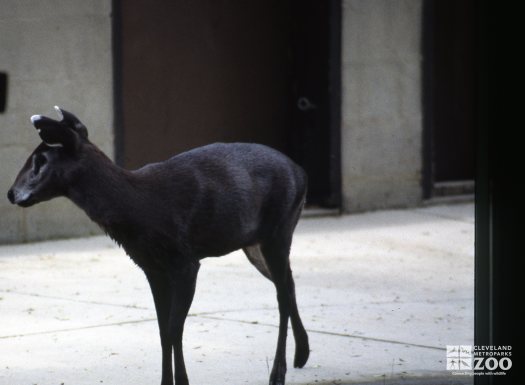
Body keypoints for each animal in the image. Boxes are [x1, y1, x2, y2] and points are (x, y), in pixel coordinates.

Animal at [7, 106, 308, 384]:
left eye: (40, 160)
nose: (11, 193)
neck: (139, 207)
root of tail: (301, 173)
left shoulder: (186, 262)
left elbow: (175, 329)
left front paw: (183, 381)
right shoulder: (152, 267)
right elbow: (163, 330)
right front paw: (167, 381)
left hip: (279, 230)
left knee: (282, 295)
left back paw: (278, 373)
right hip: (255, 244)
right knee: (289, 282)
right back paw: (302, 354)